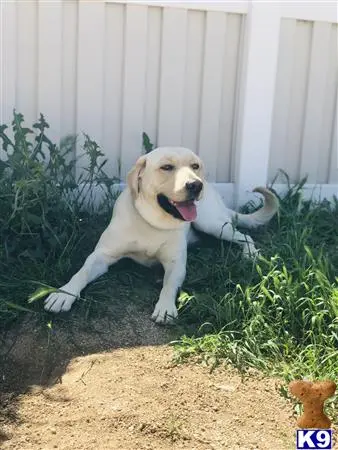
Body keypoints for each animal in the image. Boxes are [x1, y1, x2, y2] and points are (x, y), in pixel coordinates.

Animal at [44, 148, 278, 324]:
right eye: (166, 167)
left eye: (195, 166)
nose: (195, 184)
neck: (152, 222)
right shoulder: (102, 256)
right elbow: (81, 273)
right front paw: (63, 294)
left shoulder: (176, 264)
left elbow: (169, 285)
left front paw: (165, 307)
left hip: (212, 223)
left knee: (244, 236)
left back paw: (251, 255)